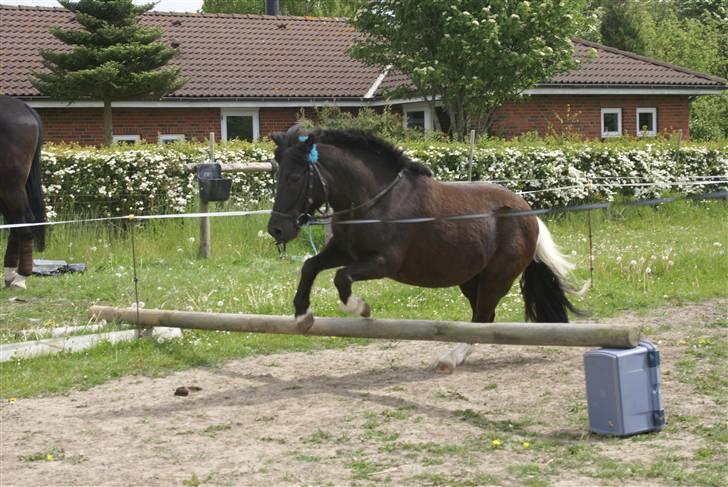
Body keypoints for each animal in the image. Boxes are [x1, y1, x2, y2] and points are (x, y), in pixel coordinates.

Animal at [264, 127, 584, 372]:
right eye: (278, 176)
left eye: (295, 178)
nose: (276, 230)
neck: (375, 202)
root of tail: (528, 213)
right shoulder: (343, 250)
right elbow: (310, 266)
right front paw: (302, 314)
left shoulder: (383, 262)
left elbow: (341, 277)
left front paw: (360, 308)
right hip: (471, 279)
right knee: (484, 319)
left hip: (497, 278)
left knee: (482, 318)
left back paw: (449, 359)